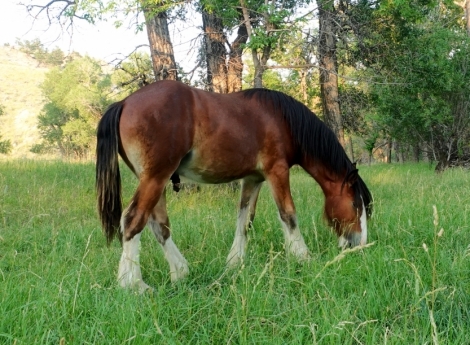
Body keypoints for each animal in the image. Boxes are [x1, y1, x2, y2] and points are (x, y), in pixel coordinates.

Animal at [96, 80, 370, 290]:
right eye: (356, 204)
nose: (360, 244)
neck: (282, 119)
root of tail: (124, 103)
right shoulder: (277, 172)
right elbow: (288, 215)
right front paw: (303, 258)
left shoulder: (253, 179)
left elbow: (244, 220)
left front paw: (234, 264)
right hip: (155, 178)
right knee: (133, 220)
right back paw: (134, 285)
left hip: (155, 181)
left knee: (158, 226)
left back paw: (180, 272)